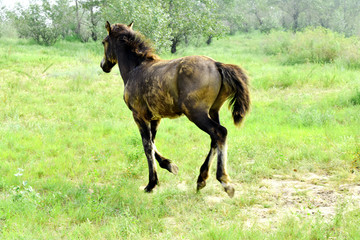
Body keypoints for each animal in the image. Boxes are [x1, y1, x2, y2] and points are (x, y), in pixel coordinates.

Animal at [100, 21, 249, 197]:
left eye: (104, 42)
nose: (103, 65)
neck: (135, 68)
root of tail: (217, 65)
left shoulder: (138, 116)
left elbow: (147, 146)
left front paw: (151, 184)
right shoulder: (155, 118)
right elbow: (152, 142)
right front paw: (169, 165)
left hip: (196, 114)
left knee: (220, 132)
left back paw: (225, 182)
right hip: (213, 111)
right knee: (215, 139)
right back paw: (201, 179)